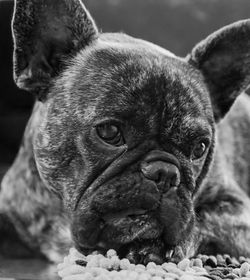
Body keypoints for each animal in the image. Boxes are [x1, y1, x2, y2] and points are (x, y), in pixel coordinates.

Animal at [0, 0, 250, 264]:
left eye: (199, 148)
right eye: (109, 132)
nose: (165, 173)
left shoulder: (237, 211)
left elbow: (203, 219)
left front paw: (154, 246)